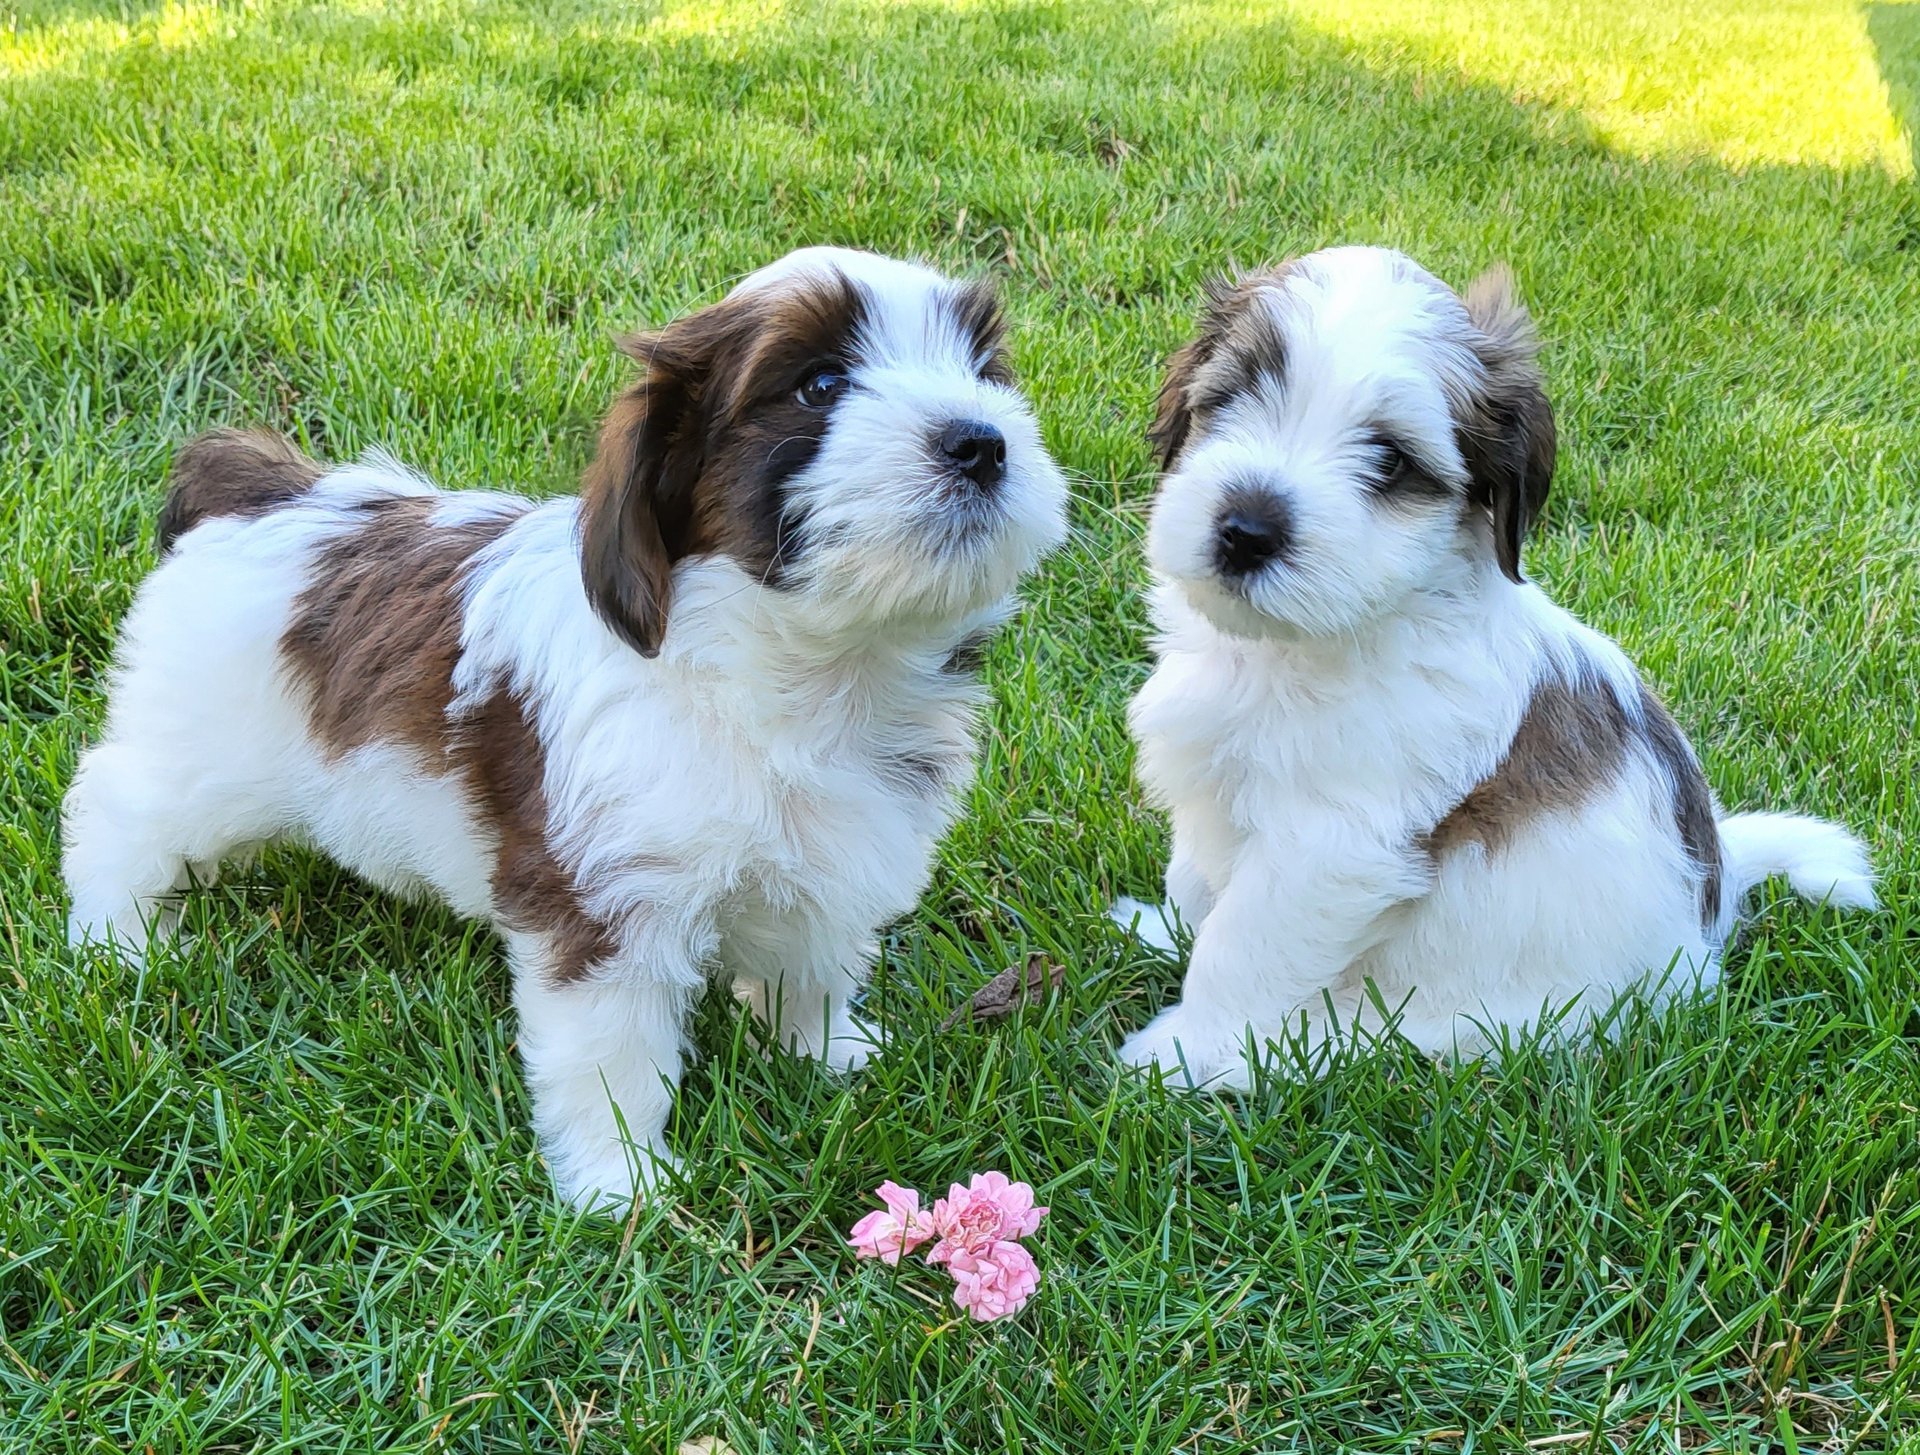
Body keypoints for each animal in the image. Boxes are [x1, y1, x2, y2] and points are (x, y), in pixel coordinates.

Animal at [67, 247, 1075, 1205]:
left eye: (984, 369)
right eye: (820, 384)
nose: (982, 442)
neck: (798, 671)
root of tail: (275, 494)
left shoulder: (834, 853)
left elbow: (813, 960)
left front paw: (826, 1052)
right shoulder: (608, 902)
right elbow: (611, 1052)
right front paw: (619, 1182)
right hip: (206, 748)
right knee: (120, 806)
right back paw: (118, 939)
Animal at [1113, 244, 1873, 1090]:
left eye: (1390, 459)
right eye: (1235, 395)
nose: (1246, 529)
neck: (1301, 645)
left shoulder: (1328, 847)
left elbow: (1242, 945)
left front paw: (1185, 1052)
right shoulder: (1210, 776)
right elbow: (1195, 876)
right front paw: (1166, 928)